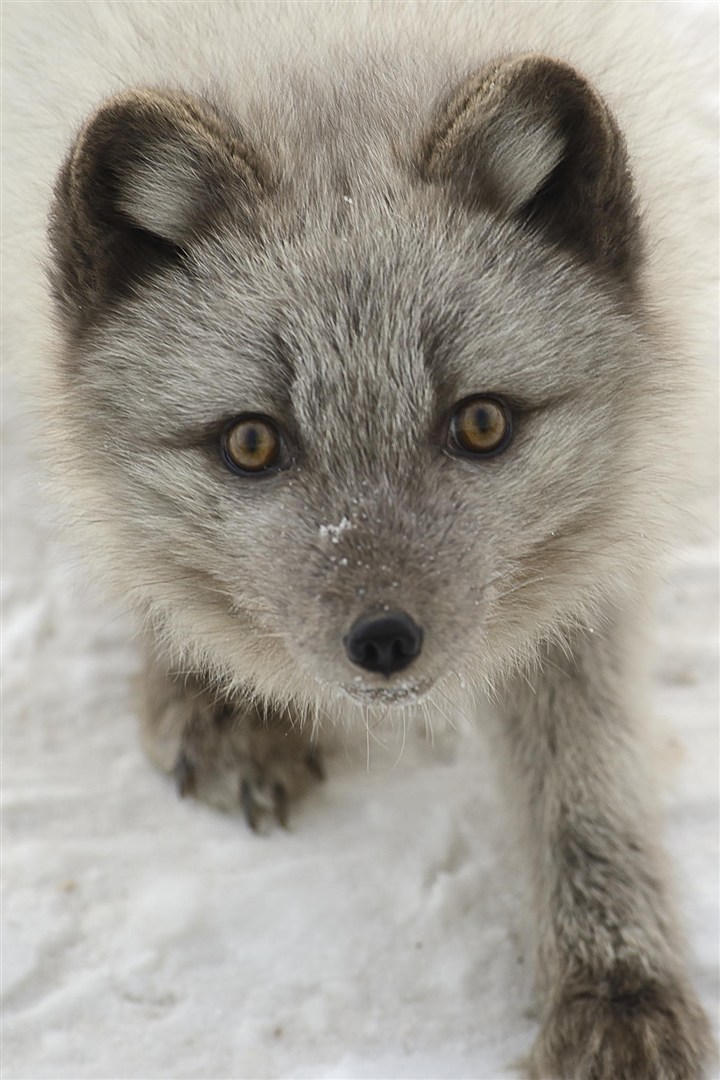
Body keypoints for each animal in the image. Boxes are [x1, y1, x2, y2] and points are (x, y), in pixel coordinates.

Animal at [4, 2, 716, 1080]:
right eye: (252, 442)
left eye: (482, 423)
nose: (385, 642)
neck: (323, 31)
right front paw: (206, 684)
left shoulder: (600, 522)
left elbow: (587, 763)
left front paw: (619, 987)